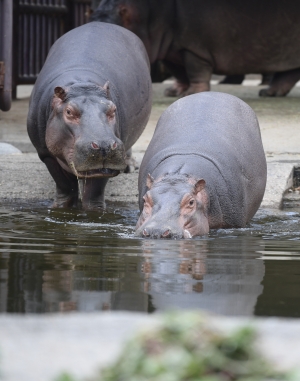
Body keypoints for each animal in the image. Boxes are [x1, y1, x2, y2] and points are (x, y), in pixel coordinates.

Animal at [27, 22, 151, 209]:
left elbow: (93, 195)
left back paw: (129, 167)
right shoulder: (46, 153)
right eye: (69, 112)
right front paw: (60, 207)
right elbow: (65, 186)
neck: (81, 84)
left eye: (112, 109)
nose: (104, 145)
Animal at [91, 0, 300, 96]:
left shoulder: (193, 48)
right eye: (92, 17)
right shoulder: (170, 49)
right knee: (288, 74)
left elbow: (195, 70)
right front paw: (173, 92)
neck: (147, 14)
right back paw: (269, 92)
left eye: (111, 26)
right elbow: (179, 72)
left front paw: (192, 93)